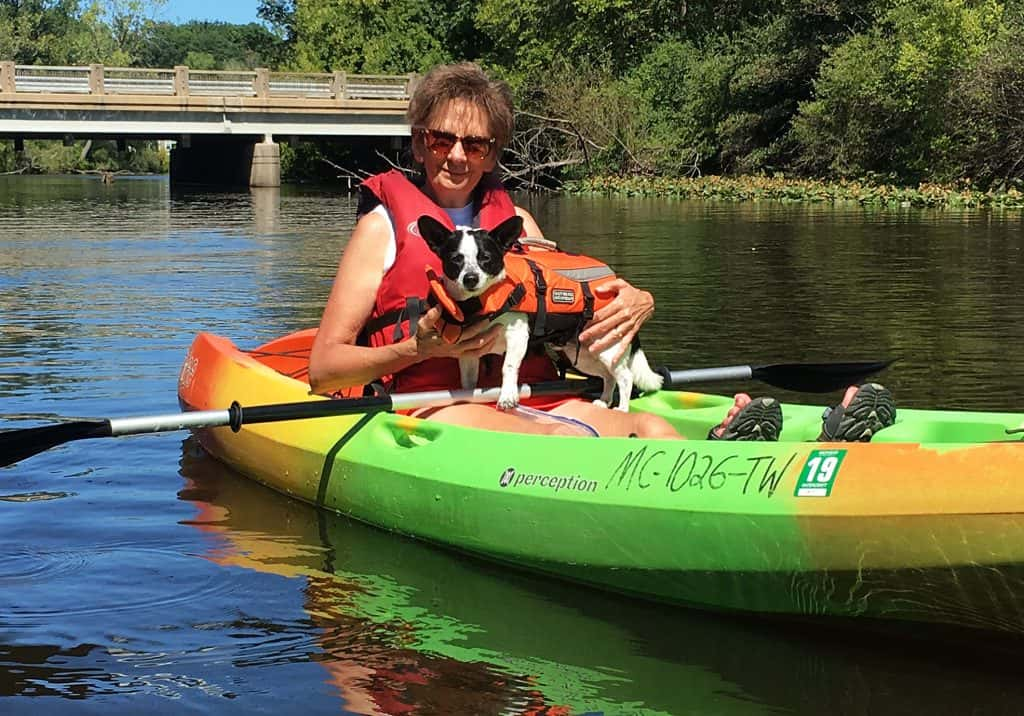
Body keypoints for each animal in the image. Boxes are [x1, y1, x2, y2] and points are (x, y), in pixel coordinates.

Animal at [417, 216, 663, 411]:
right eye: (455, 259)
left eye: (486, 258)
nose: (470, 278)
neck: (480, 301)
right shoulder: (468, 354)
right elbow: (468, 381)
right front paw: (468, 396)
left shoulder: (517, 336)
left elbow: (508, 366)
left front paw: (507, 396)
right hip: (585, 354)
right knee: (608, 376)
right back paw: (604, 401)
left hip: (607, 348)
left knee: (625, 377)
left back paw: (622, 408)